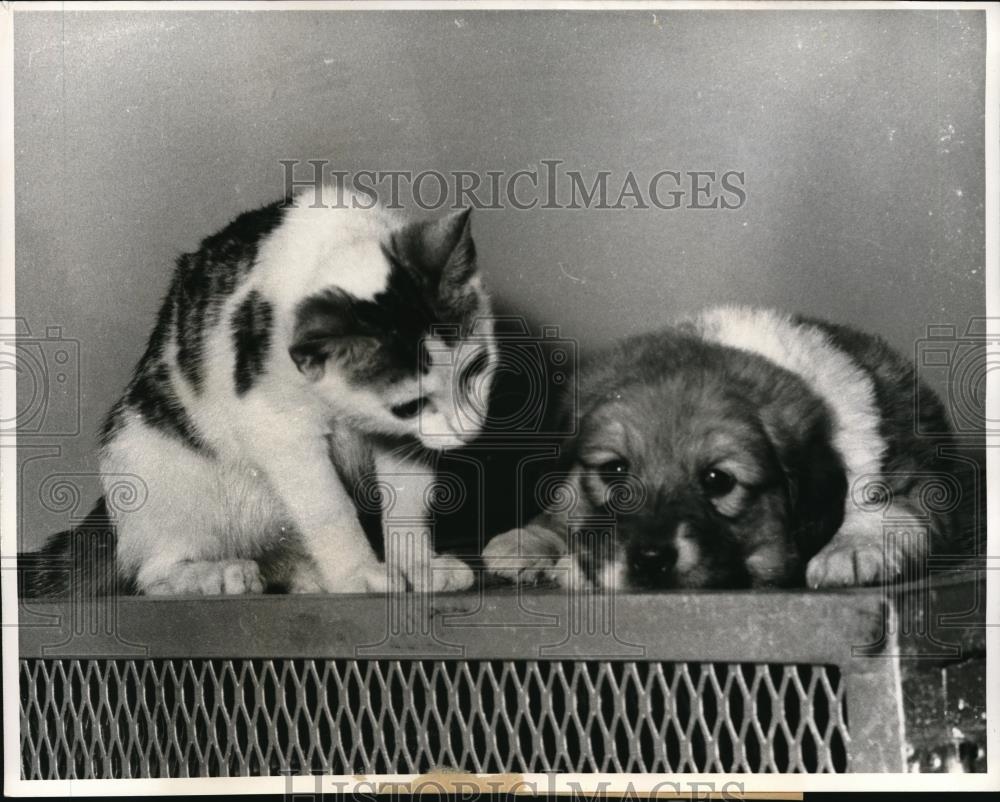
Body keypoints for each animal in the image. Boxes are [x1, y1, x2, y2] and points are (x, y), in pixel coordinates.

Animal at [29, 184, 498, 592]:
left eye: (475, 369)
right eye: (410, 404)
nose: (467, 432)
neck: (337, 243)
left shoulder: (403, 438)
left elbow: (408, 492)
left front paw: (417, 564)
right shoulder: (276, 423)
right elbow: (328, 506)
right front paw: (358, 573)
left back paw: (306, 574)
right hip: (149, 463)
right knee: (151, 572)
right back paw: (211, 575)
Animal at [480, 306, 972, 588]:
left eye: (718, 481)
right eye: (614, 471)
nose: (651, 559)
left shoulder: (916, 486)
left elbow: (883, 507)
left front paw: (850, 549)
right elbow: (563, 507)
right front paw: (532, 538)